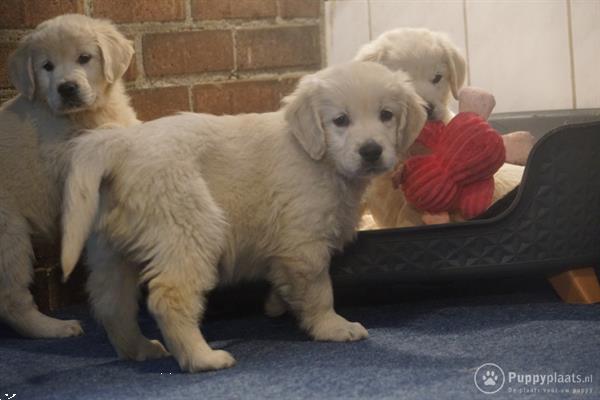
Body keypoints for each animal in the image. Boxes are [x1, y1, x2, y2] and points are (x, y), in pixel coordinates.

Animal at [0, 13, 138, 338]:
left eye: (84, 58)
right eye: (47, 66)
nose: (67, 88)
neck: (82, 116)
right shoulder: (59, 153)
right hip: (9, 233)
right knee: (11, 300)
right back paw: (55, 328)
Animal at [59, 61, 426, 372]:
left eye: (386, 115)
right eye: (340, 120)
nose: (371, 151)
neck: (316, 156)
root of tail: (122, 143)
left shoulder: (285, 248)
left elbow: (284, 281)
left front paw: (277, 305)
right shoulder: (304, 241)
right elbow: (319, 290)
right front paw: (332, 327)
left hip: (110, 251)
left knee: (111, 303)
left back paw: (140, 349)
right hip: (189, 227)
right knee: (168, 296)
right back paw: (202, 358)